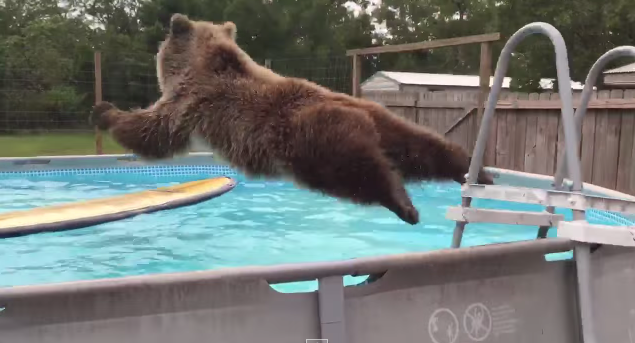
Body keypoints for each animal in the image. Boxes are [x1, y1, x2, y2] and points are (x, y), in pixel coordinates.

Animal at [92, 14, 494, 226]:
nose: (171, 25)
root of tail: (359, 111)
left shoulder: (191, 101)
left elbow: (155, 131)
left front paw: (105, 111)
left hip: (310, 143)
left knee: (361, 174)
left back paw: (404, 205)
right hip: (388, 124)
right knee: (424, 149)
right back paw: (473, 170)